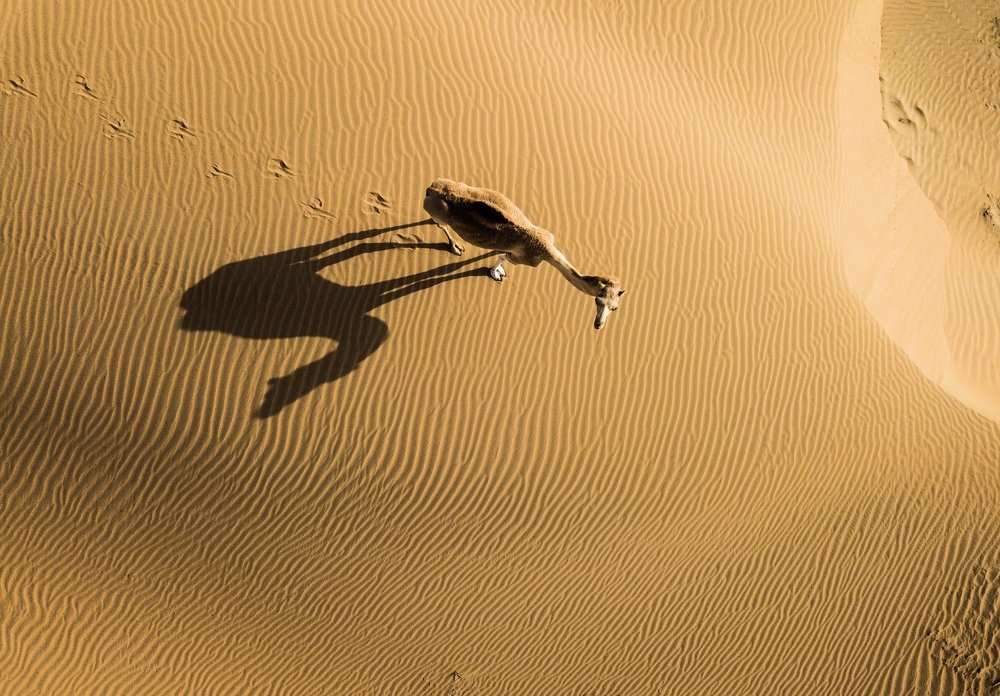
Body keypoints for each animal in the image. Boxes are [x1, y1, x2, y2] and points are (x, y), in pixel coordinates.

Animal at [422, 178, 626, 330]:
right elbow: (503, 257)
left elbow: (501, 252)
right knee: (442, 224)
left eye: (615, 307)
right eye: (597, 300)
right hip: (438, 211)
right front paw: (496, 273)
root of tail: (432, 187)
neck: (546, 250)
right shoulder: (523, 259)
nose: (598, 324)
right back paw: (455, 247)